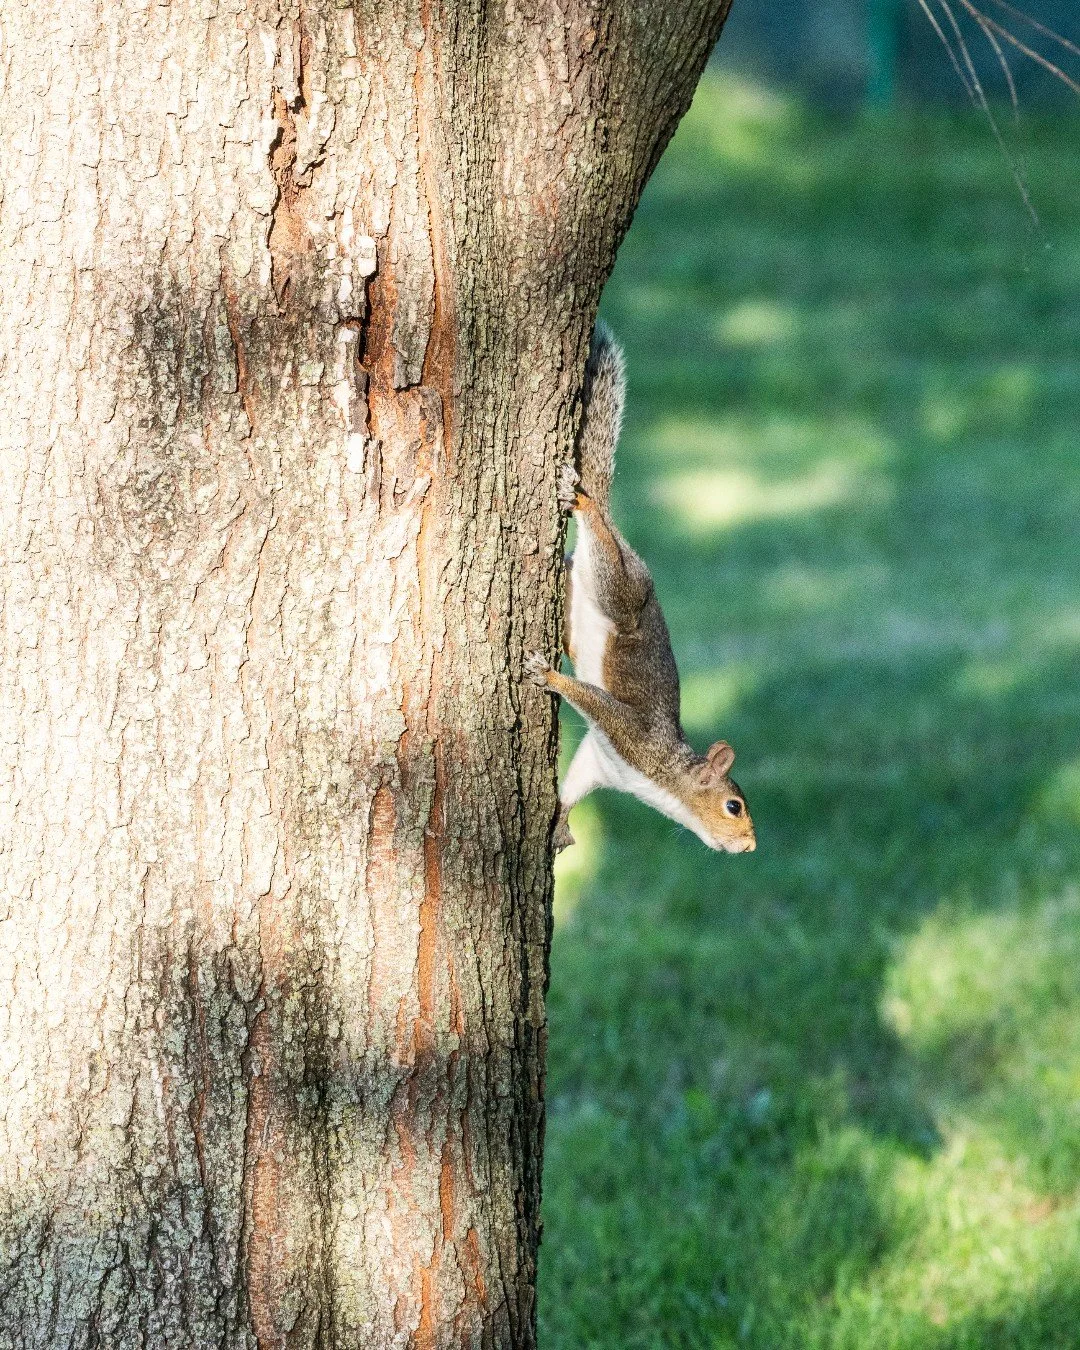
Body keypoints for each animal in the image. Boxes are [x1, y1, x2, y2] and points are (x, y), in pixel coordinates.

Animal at [526, 324, 757, 856]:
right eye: (734, 806)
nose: (750, 847)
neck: (661, 781)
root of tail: (623, 546)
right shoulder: (632, 737)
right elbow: (593, 701)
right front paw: (550, 679)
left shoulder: (599, 763)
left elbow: (573, 789)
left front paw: (560, 826)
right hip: (622, 589)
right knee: (598, 534)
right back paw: (583, 502)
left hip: (584, 596)